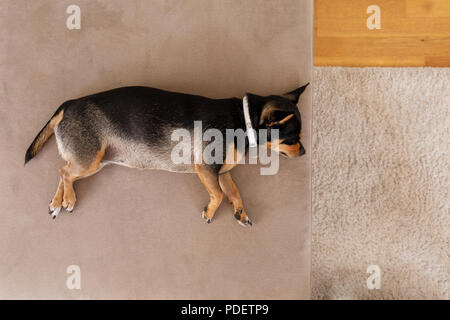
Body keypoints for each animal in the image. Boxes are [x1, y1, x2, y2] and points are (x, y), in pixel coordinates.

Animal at [25, 84, 310, 226]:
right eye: (292, 139)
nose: (305, 151)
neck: (243, 120)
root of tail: (70, 103)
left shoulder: (223, 173)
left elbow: (234, 192)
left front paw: (240, 212)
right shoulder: (206, 169)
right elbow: (218, 195)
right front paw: (209, 212)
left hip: (93, 161)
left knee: (65, 171)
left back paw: (57, 203)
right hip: (90, 160)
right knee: (64, 172)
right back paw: (68, 199)